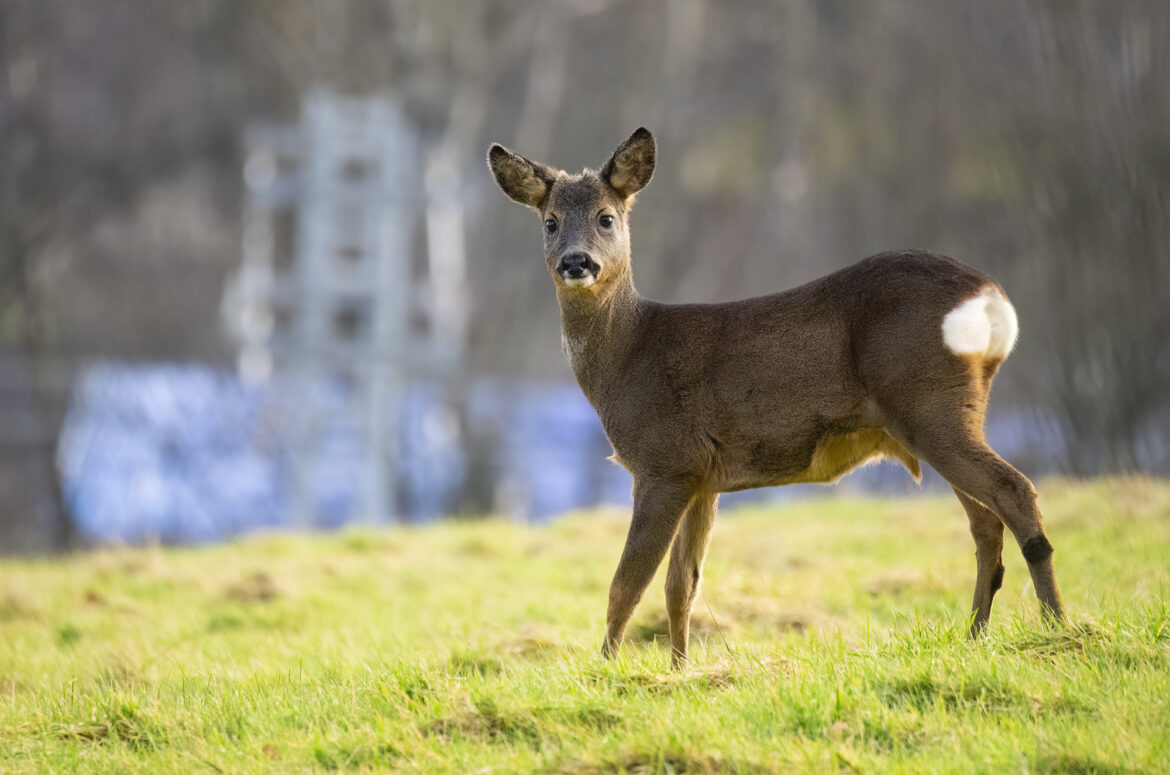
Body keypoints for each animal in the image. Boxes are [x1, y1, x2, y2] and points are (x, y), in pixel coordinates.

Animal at [487, 127, 1065, 668]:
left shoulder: (663, 462)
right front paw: (678, 670)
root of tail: (991, 300)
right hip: (940, 416)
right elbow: (681, 586)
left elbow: (626, 584)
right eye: (550, 221)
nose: (576, 262)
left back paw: (1057, 628)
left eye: (606, 218)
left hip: (928, 404)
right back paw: (976, 635)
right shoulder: (703, 477)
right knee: (986, 522)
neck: (630, 353)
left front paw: (606, 671)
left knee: (1014, 491)